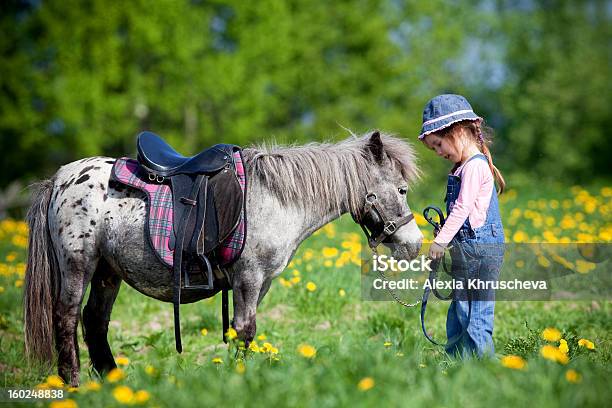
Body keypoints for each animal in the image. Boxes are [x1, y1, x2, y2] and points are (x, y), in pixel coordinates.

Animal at [26, 131, 424, 386]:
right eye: (402, 189)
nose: (414, 245)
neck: (275, 199)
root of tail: (60, 180)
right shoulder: (248, 277)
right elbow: (245, 330)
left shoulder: (261, 283)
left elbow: (240, 331)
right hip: (78, 266)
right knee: (66, 318)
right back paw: (74, 385)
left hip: (108, 272)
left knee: (95, 322)